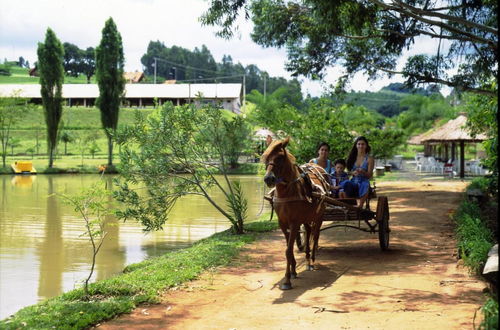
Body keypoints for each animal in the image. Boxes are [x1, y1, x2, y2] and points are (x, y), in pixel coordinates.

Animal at [260, 138, 330, 290]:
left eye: (280, 157)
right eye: (266, 157)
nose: (268, 179)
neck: (287, 192)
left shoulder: (294, 223)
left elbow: (288, 250)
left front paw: (287, 281)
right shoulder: (283, 223)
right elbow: (289, 249)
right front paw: (293, 272)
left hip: (319, 216)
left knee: (316, 235)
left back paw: (312, 261)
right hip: (306, 217)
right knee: (308, 231)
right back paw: (308, 258)